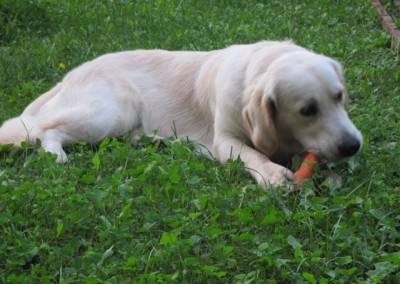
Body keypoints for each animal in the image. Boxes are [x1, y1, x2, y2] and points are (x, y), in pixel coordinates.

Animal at [0, 40, 362, 186]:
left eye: (339, 97)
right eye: (307, 110)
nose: (353, 145)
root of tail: (69, 76)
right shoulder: (225, 140)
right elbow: (253, 155)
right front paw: (272, 174)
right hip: (111, 112)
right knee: (44, 129)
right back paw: (57, 155)